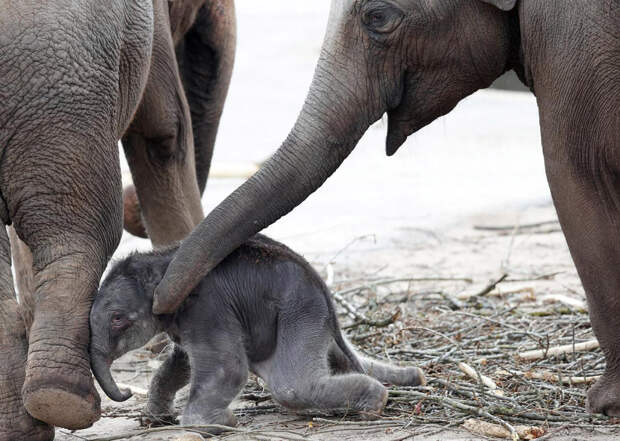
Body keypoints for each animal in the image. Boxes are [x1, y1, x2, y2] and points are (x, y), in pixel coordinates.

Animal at [88, 235, 426, 428]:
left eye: (117, 318)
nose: (126, 392)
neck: (163, 262)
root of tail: (323, 290)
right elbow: (181, 364)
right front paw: (155, 419)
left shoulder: (208, 308)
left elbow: (228, 368)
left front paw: (221, 422)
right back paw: (412, 377)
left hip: (300, 310)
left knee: (292, 386)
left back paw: (375, 403)